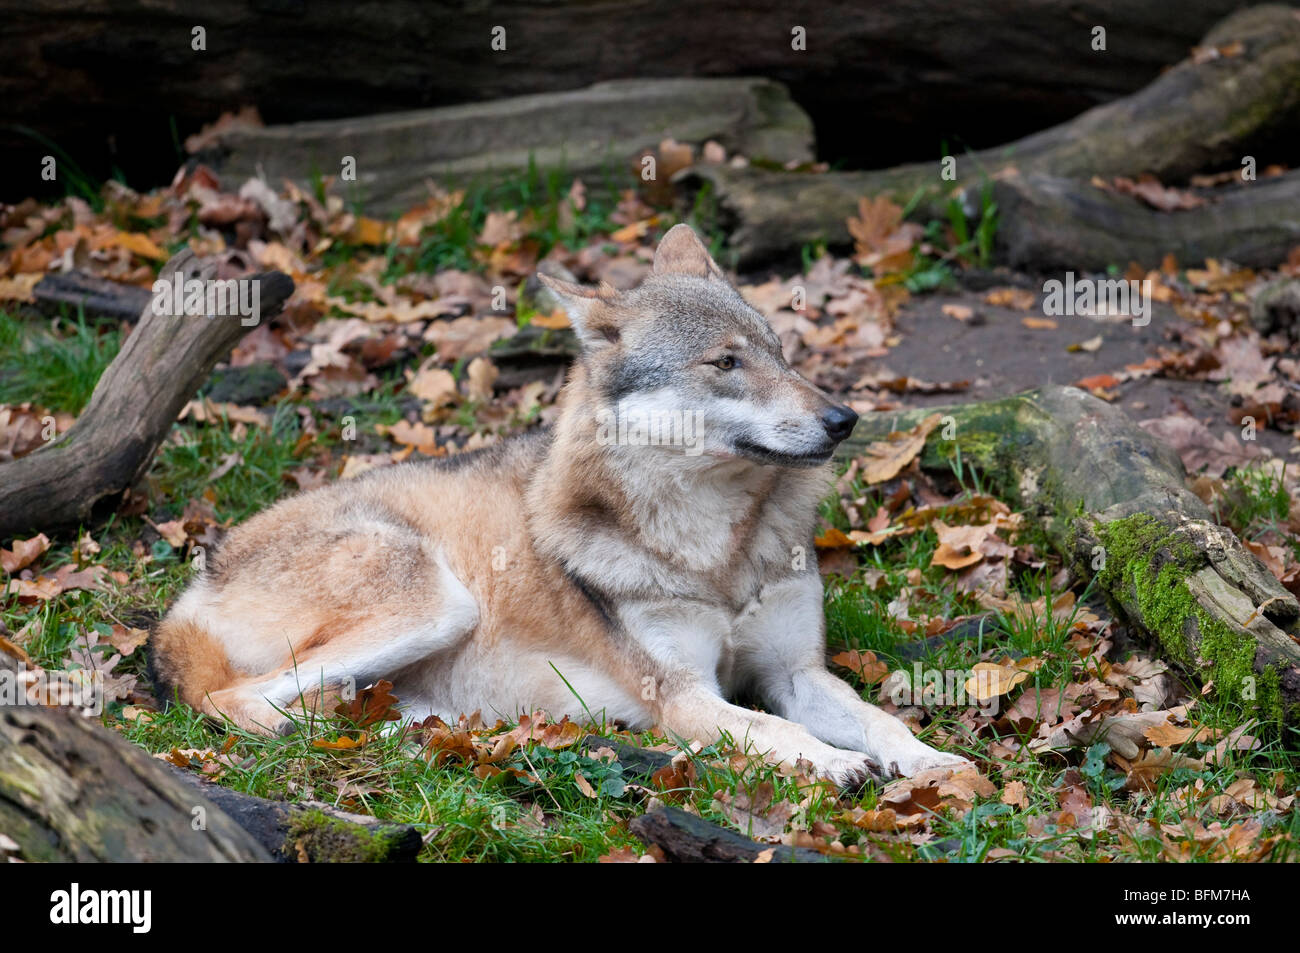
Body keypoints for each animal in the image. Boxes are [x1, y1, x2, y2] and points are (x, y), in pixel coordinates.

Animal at [149, 226, 967, 785]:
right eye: (726, 363)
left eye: (781, 352)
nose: (844, 419)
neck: (712, 550)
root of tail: (198, 579)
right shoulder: (685, 697)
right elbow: (776, 732)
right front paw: (832, 762)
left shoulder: (799, 674)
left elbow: (880, 720)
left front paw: (936, 762)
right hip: (438, 603)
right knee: (234, 704)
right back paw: (388, 739)